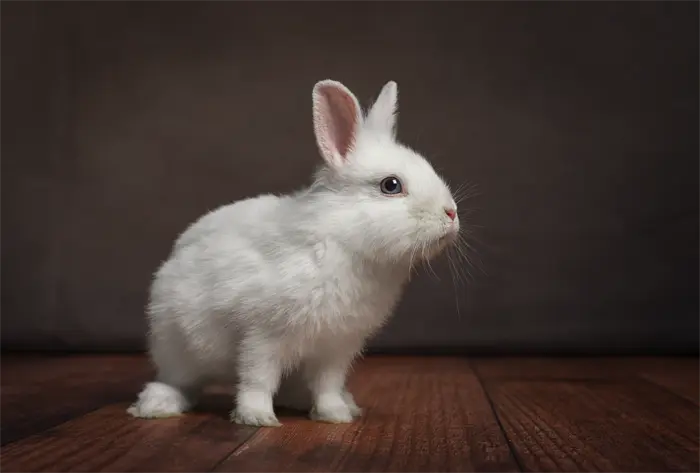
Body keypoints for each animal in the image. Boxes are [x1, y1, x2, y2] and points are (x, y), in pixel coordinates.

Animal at [127, 79, 460, 427]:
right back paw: (158, 404)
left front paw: (336, 415)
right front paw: (257, 417)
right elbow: (257, 379)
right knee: (178, 381)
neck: (341, 239)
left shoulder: (336, 348)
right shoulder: (262, 335)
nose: (451, 213)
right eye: (391, 185)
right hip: (177, 344)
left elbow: (328, 385)